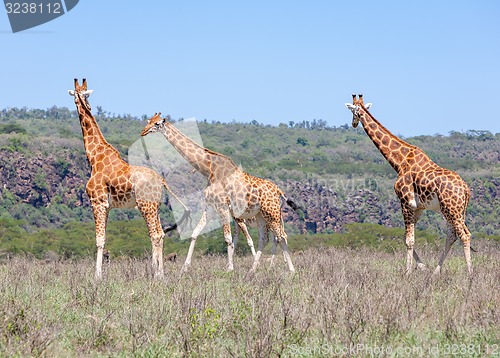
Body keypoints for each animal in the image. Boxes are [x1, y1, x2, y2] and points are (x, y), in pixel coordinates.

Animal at [68, 79, 189, 280]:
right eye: (84, 93)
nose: (86, 104)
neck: (94, 157)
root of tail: (161, 181)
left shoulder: (97, 202)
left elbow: (99, 240)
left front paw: (97, 276)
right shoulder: (107, 206)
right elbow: (104, 239)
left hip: (146, 206)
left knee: (155, 235)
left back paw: (156, 274)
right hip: (154, 206)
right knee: (160, 233)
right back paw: (161, 273)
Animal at [141, 113, 296, 272]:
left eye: (157, 124)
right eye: (148, 121)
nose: (143, 132)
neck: (208, 169)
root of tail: (278, 190)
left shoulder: (222, 206)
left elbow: (228, 238)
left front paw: (229, 268)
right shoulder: (210, 207)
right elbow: (195, 233)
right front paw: (185, 267)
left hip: (272, 213)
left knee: (281, 236)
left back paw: (290, 269)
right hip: (262, 216)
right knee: (266, 238)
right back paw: (254, 269)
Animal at [346, 94, 470, 274]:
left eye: (352, 111)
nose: (353, 123)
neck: (400, 162)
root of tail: (466, 189)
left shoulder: (405, 202)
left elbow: (409, 240)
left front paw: (408, 272)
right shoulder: (418, 207)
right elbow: (406, 237)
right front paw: (422, 266)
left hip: (451, 209)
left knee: (464, 235)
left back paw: (470, 273)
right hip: (455, 210)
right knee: (452, 235)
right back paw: (435, 272)